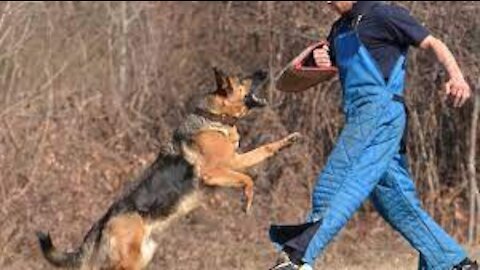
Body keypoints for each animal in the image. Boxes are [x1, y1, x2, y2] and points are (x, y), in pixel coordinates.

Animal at [36, 68, 300, 268]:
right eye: (244, 78)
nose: (264, 71)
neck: (214, 117)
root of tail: (102, 223)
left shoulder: (235, 160)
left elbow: (264, 149)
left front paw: (289, 141)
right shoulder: (215, 172)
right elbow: (248, 179)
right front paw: (246, 201)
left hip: (140, 259)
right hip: (127, 262)